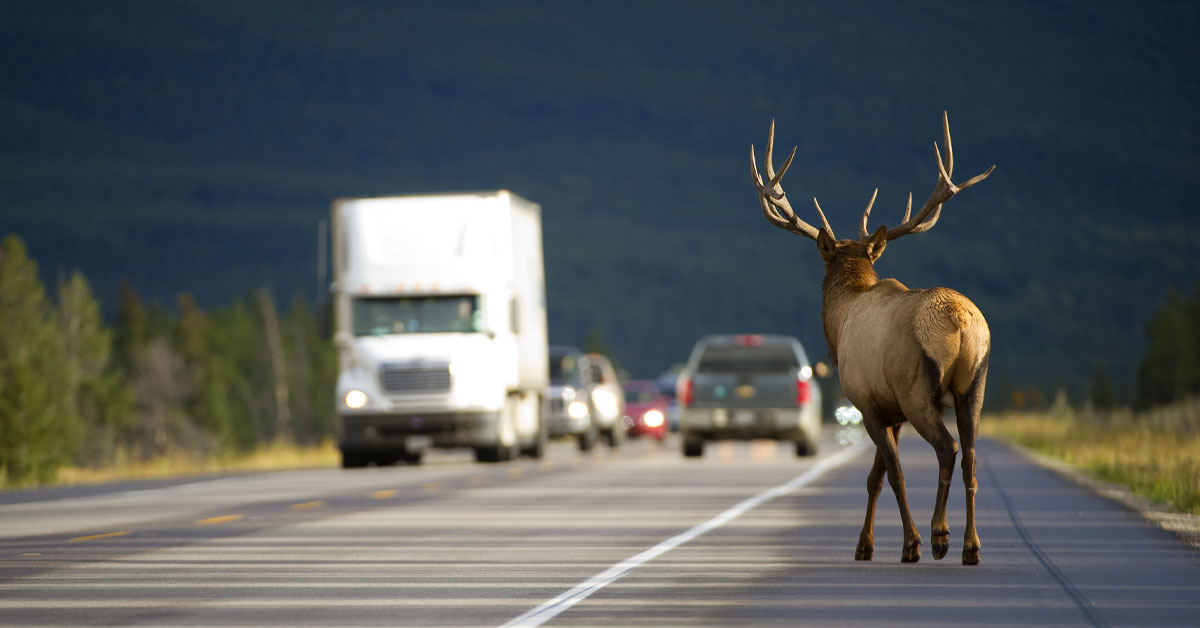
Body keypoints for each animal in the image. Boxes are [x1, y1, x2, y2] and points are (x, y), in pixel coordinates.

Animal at [748, 111, 993, 564]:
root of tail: (961, 324)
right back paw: (971, 546)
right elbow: (874, 477)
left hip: (917, 389)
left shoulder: (866, 401)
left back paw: (938, 536)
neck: (841, 319)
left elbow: (892, 473)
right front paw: (865, 544)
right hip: (975, 385)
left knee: (947, 449)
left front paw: (907, 544)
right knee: (970, 456)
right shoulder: (888, 408)